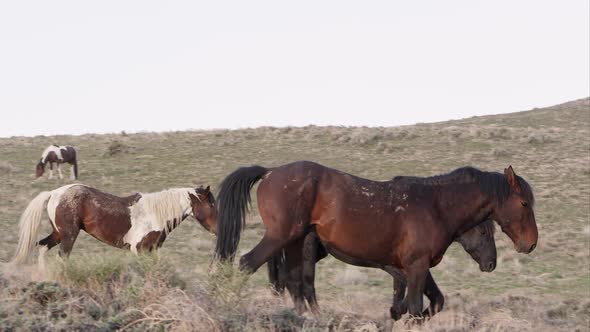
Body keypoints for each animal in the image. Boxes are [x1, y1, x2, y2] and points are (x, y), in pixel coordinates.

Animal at [11, 183, 217, 266]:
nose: (217, 229)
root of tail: (54, 192)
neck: (155, 214)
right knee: (62, 258)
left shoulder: (152, 250)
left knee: (42, 248)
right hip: (69, 235)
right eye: (211, 205)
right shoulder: (139, 250)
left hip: (58, 233)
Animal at [270, 218, 498, 320]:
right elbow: (413, 291)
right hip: (307, 252)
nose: (491, 264)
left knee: (285, 279)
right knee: (303, 284)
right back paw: (313, 314)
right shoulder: (406, 266)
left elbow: (412, 292)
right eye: (484, 232)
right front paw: (398, 313)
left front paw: (397, 312)